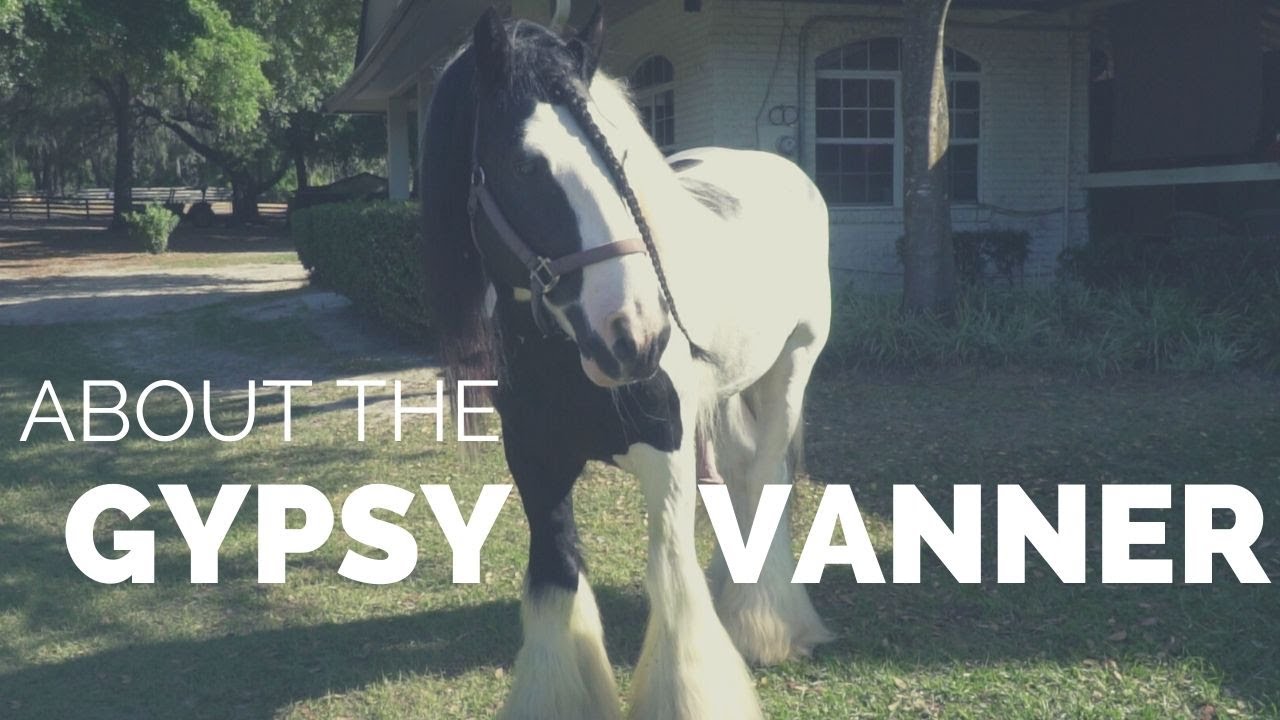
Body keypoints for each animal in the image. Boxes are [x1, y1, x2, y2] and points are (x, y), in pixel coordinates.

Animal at [420, 8, 833, 719]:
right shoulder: (537, 466)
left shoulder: (666, 455)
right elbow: (556, 579)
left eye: (619, 160)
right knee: (743, 477)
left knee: (766, 478)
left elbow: (674, 581)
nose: (637, 335)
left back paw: (764, 625)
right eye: (524, 165)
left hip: (792, 368)